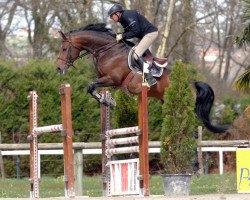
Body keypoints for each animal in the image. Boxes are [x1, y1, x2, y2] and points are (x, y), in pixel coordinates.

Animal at [55, 23, 228, 133]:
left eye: (64, 48)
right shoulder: (107, 80)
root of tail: (192, 83)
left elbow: (90, 86)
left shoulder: (112, 79)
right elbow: (91, 87)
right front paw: (106, 100)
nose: (58, 68)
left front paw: (107, 101)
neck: (108, 51)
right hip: (166, 101)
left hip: (184, 106)